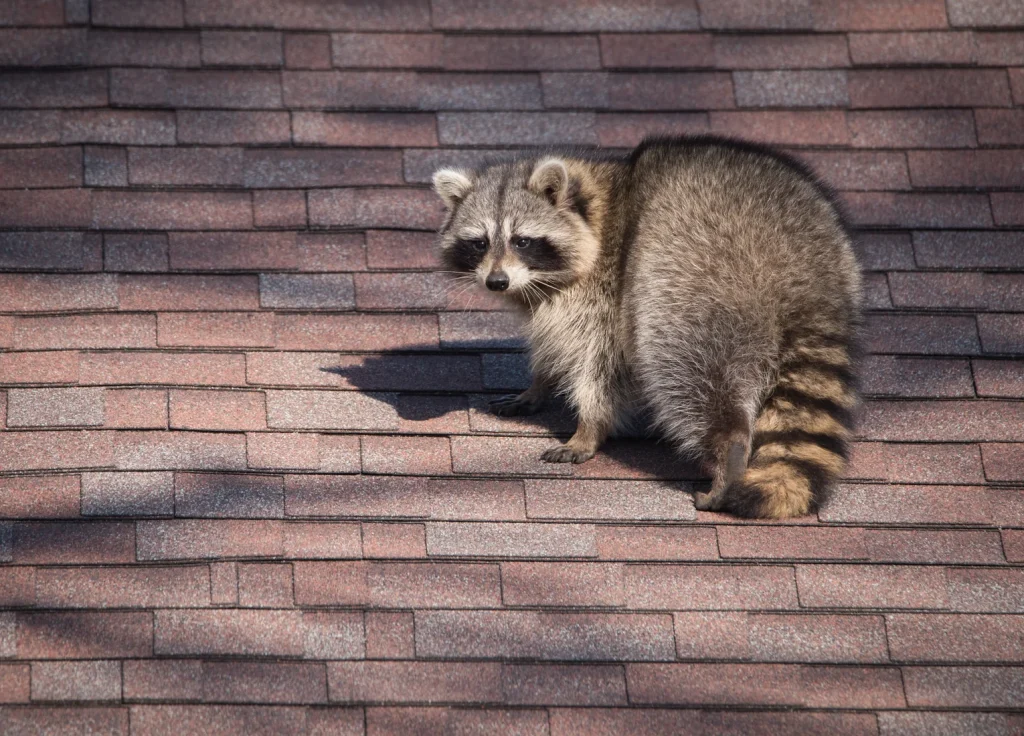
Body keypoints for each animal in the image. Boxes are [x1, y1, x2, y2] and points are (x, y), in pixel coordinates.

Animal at [433, 136, 861, 519]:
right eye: (479, 242)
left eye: (522, 241)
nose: (496, 282)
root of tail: (803, 268)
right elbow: (552, 343)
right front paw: (539, 384)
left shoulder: (605, 291)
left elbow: (600, 363)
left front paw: (589, 426)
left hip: (694, 276)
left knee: (684, 363)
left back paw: (729, 448)